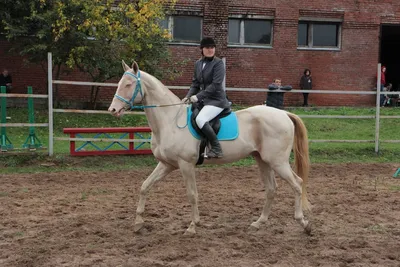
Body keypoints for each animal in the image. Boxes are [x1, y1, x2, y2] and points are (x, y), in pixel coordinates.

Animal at [108, 61, 310, 236]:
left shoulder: (185, 165)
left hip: (278, 162)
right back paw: (258, 223)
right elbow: (145, 186)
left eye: (128, 85)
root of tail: (284, 113)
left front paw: (192, 226)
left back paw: (303, 223)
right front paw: (138, 223)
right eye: (120, 84)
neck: (170, 120)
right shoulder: (167, 164)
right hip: (263, 160)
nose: (113, 110)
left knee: (297, 183)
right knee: (271, 189)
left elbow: (192, 195)